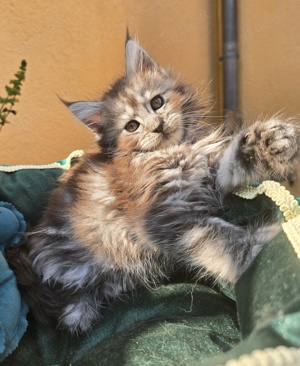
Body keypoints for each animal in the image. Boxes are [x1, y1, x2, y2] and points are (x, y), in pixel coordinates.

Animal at [5, 37, 300, 334]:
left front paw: (275, 142)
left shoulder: (211, 172)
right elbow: (224, 240)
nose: (157, 126)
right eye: (132, 126)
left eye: (157, 102)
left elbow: (237, 157)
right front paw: (264, 250)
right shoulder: (163, 217)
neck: (174, 151)